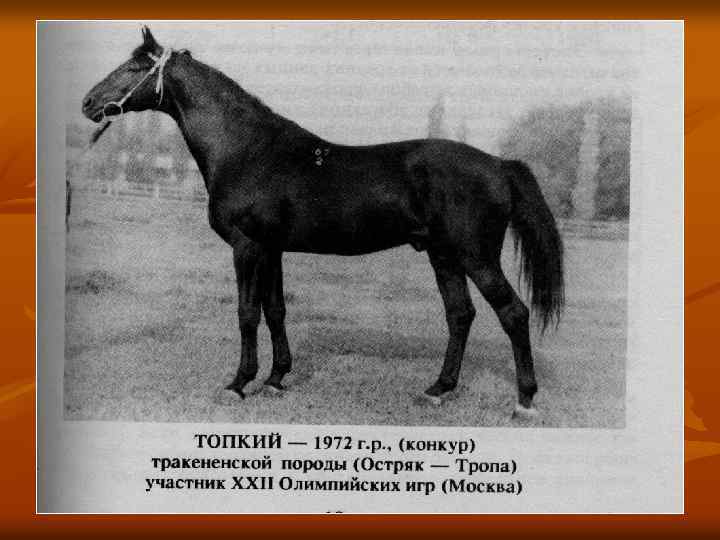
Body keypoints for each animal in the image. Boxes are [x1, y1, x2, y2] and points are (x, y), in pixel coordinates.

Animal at [81, 26, 564, 419]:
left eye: (133, 66)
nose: (88, 103)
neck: (247, 151)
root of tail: (499, 165)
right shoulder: (271, 249)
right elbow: (275, 310)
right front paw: (276, 380)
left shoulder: (247, 246)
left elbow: (246, 313)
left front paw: (239, 383)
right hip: (444, 255)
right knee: (460, 314)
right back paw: (437, 390)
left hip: (475, 256)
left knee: (513, 313)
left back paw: (524, 401)